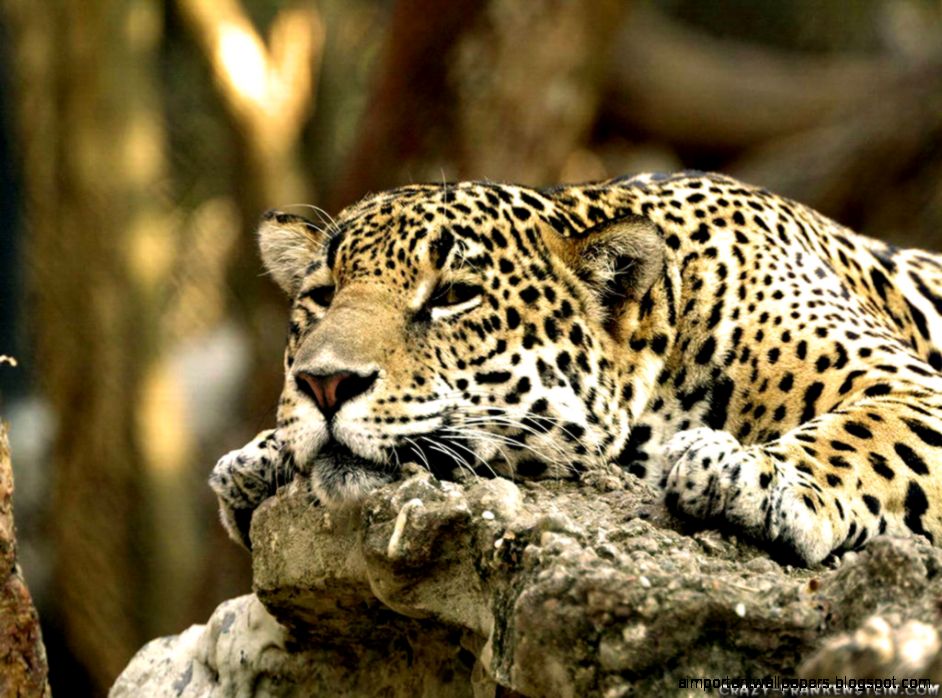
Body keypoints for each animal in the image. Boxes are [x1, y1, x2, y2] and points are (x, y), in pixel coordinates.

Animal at [211, 171, 942, 566]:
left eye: (453, 295)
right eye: (322, 295)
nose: (324, 383)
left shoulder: (911, 387)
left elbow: (858, 435)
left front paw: (746, 472)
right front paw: (260, 455)